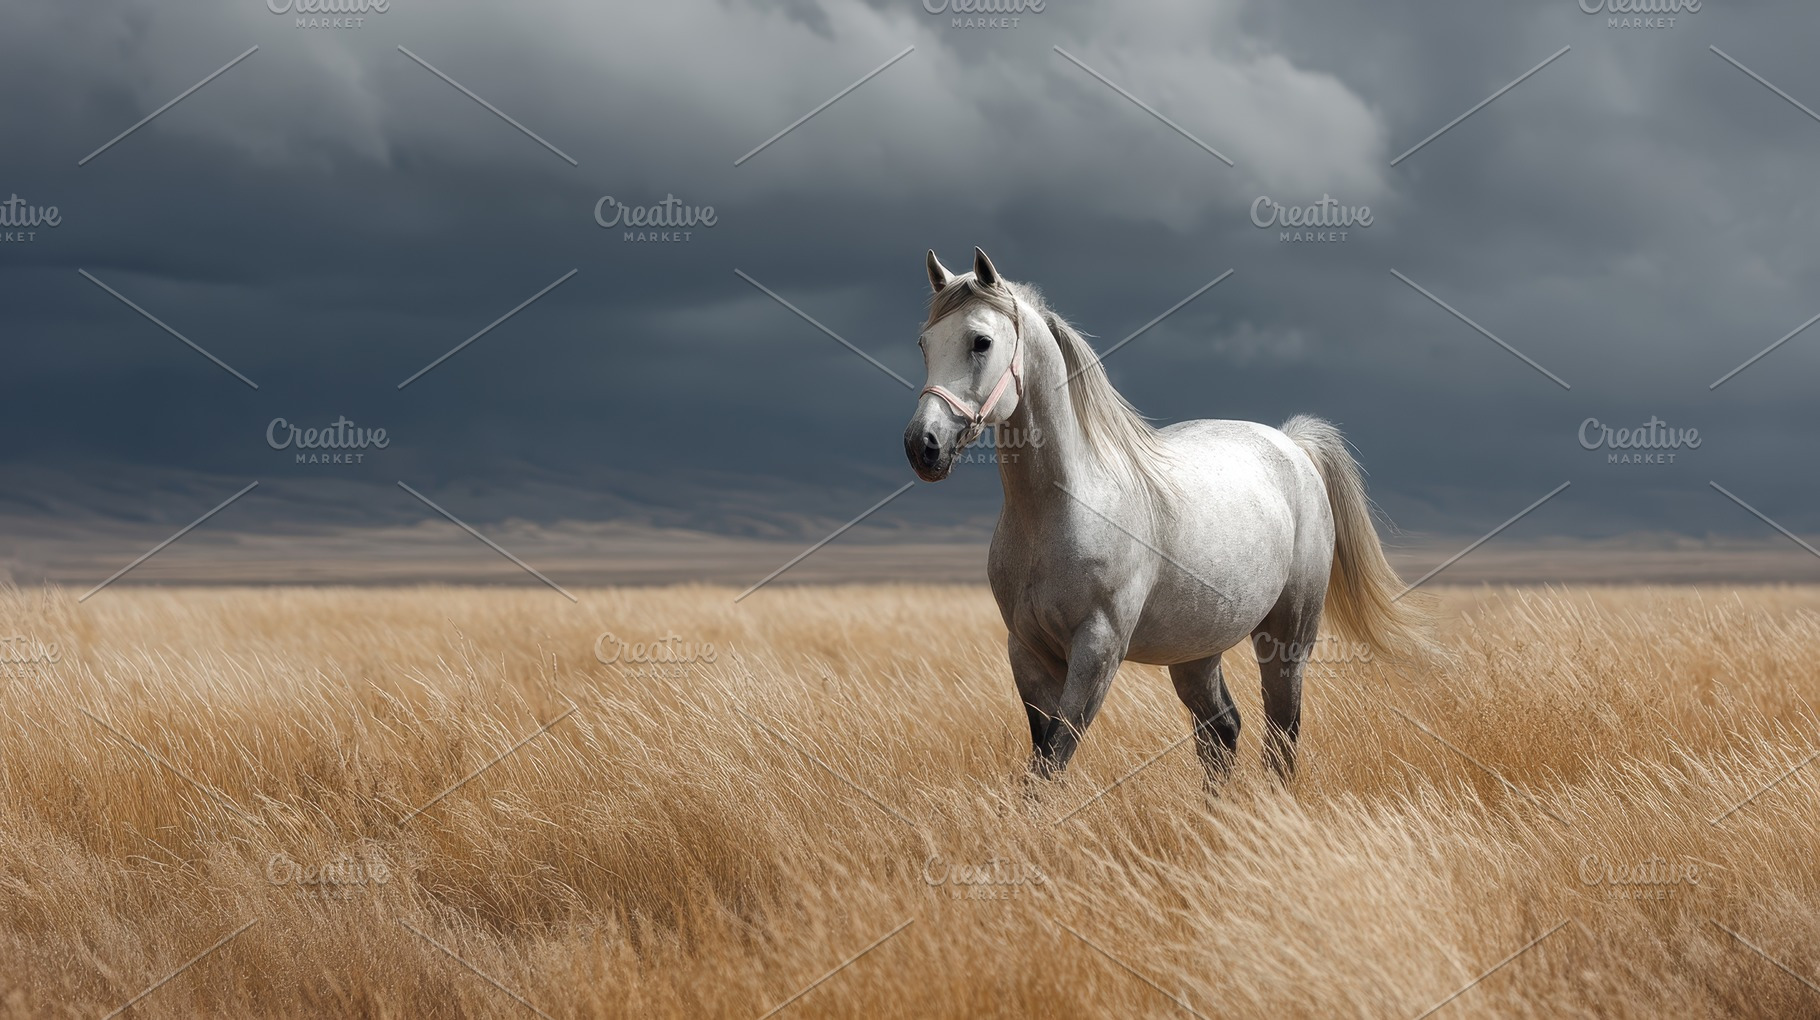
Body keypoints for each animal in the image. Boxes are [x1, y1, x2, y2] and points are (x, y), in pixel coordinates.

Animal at [904, 247, 1423, 784]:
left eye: (981, 342)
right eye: (924, 344)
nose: (924, 446)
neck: (1061, 509)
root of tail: (1292, 444)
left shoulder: (1097, 650)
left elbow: (1051, 761)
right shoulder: (1026, 651)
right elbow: (1042, 756)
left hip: (1286, 641)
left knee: (1281, 737)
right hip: (1196, 651)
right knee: (1222, 730)